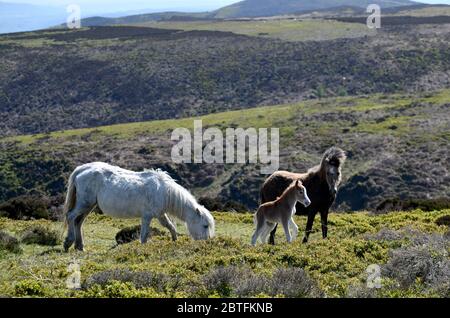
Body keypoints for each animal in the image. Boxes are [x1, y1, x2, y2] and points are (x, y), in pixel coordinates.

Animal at [62, 163, 215, 252]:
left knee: (78, 221)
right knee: (71, 216)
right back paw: (68, 243)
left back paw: (80, 246)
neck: (164, 191)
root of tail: (82, 169)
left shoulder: (160, 215)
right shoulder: (147, 216)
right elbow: (144, 235)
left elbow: (171, 226)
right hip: (85, 203)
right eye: (205, 225)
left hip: (88, 206)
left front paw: (174, 241)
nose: (207, 242)